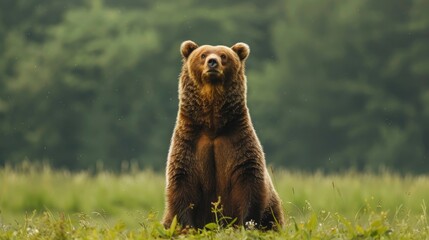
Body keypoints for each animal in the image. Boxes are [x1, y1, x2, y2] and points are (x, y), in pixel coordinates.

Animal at [162, 40, 282, 230]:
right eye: (203, 55)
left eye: (224, 56)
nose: (212, 62)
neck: (212, 126)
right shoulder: (189, 143)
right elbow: (182, 184)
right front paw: (186, 227)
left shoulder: (238, 141)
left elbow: (249, 181)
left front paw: (247, 225)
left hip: (273, 210)